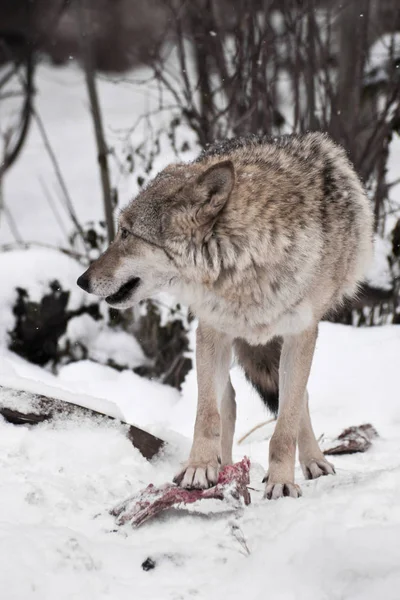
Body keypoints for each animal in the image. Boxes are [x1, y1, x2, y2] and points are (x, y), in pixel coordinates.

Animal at [78, 134, 376, 500]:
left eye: (126, 233)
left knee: (297, 400)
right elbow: (207, 415)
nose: (82, 281)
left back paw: (312, 462)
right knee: (229, 403)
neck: (247, 264)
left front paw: (282, 481)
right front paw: (199, 468)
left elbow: (286, 424)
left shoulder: (301, 334)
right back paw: (224, 470)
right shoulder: (212, 330)